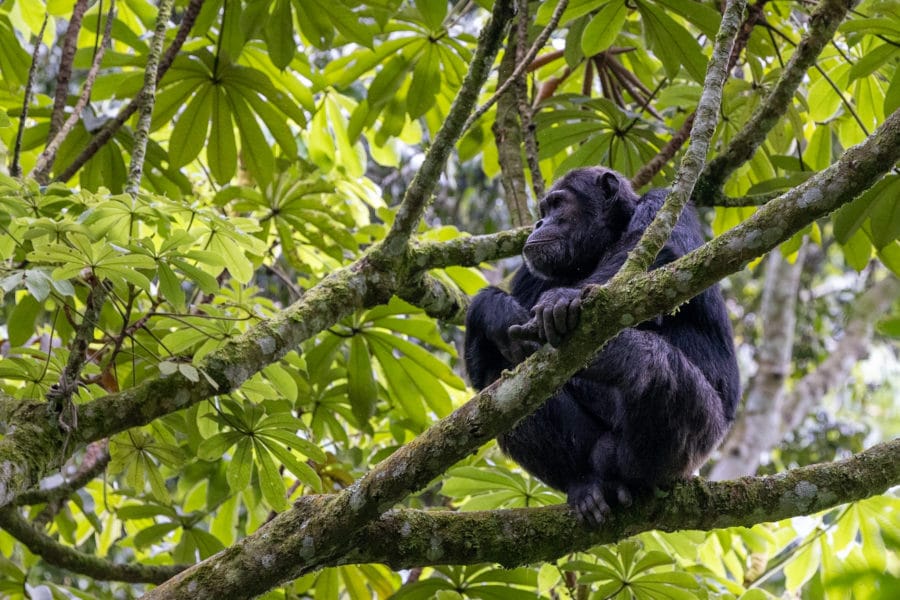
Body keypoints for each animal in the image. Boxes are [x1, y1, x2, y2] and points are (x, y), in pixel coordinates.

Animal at [464, 165, 740, 524]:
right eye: (543, 209)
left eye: (558, 205)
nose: (539, 223)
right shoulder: (533, 268)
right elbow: (482, 366)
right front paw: (495, 311)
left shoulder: (662, 203)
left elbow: (655, 253)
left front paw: (562, 299)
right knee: (501, 376)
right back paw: (585, 485)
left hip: (695, 445)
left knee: (650, 364)